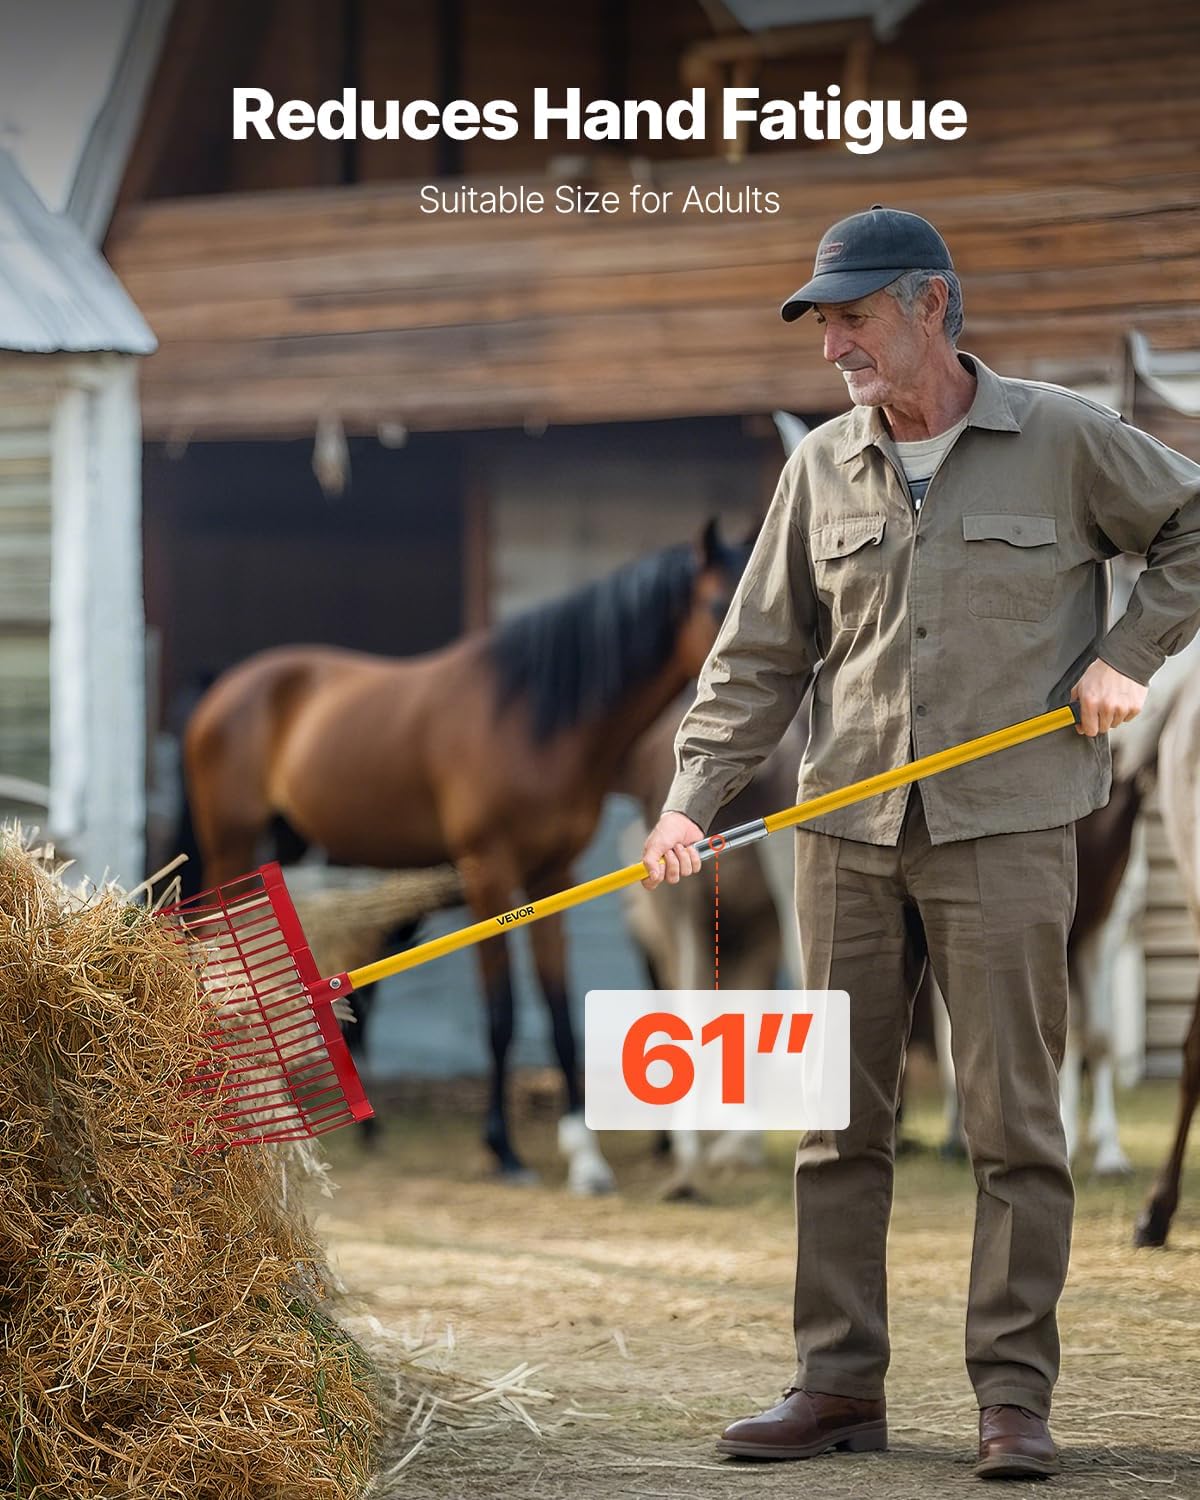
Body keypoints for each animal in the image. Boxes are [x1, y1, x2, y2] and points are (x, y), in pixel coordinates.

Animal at [184, 521, 753, 1189]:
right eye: (715, 603)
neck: (533, 719)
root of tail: (225, 689)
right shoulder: (488, 874)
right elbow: (501, 1013)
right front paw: (504, 1149)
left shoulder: (551, 875)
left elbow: (560, 1013)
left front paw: (584, 1156)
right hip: (231, 845)